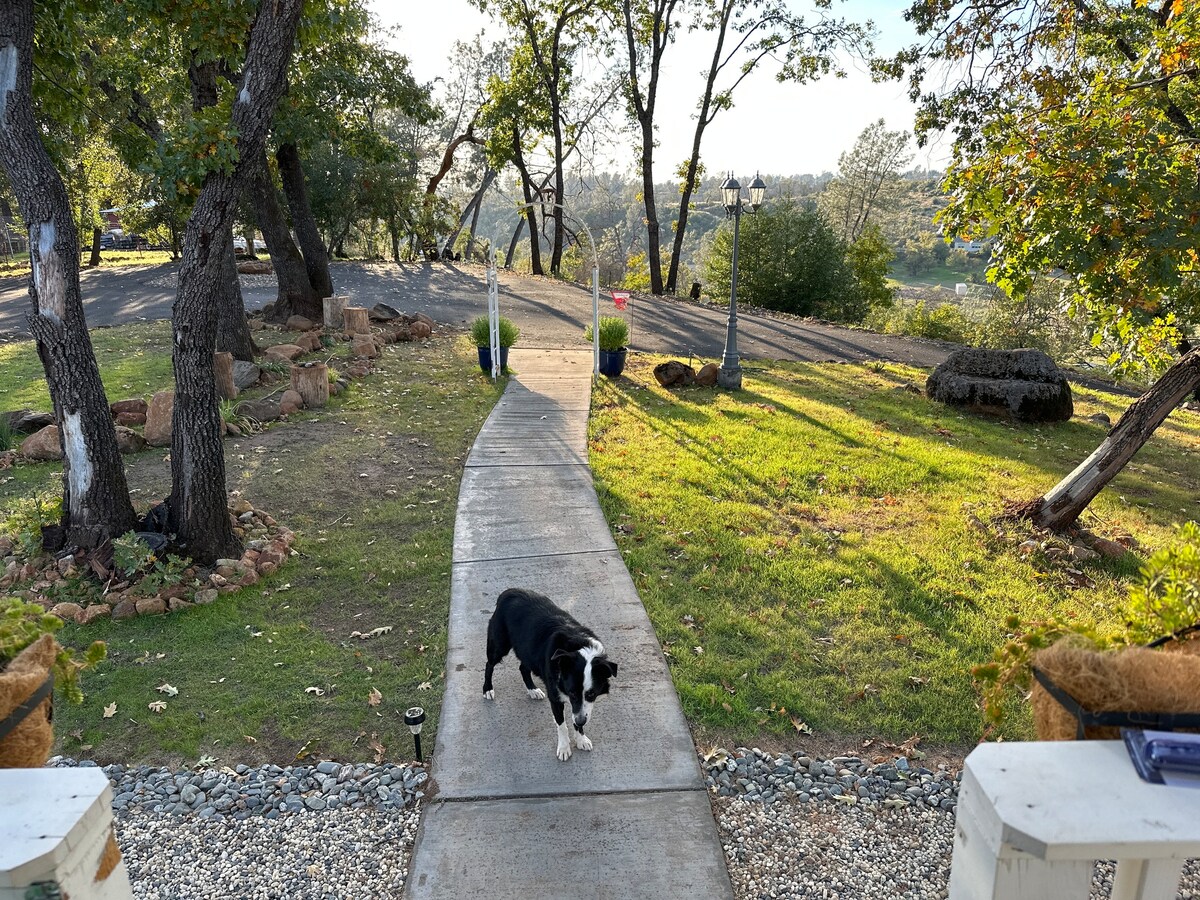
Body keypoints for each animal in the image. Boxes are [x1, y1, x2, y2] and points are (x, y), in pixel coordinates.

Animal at [482, 592, 619, 763]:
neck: (578, 647)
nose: (581, 721)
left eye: (591, 694)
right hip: (499, 645)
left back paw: (532, 690)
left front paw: (580, 738)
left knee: (523, 668)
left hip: (528, 651)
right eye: (572, 692)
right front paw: (564, 748)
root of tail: (508, 592)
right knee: (489, 665)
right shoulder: (556, 698)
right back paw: (487, 689)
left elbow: (576, 716)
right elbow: (562, 724)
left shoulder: (580, 707)